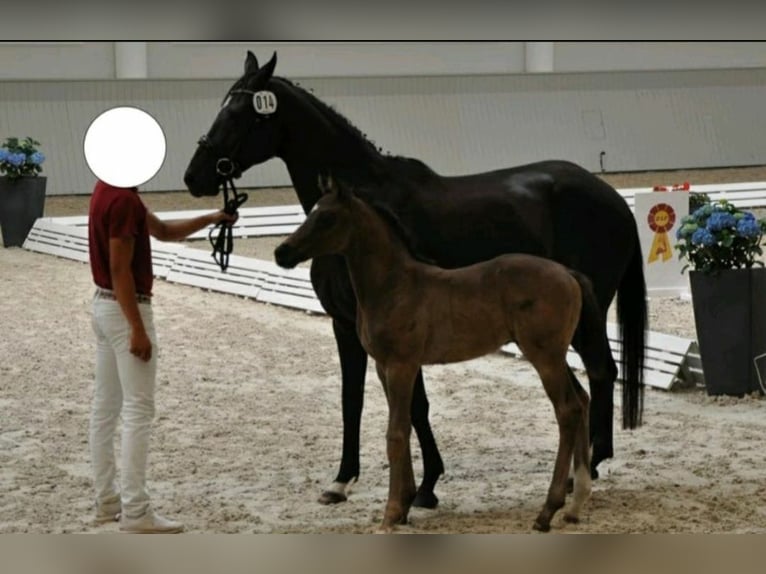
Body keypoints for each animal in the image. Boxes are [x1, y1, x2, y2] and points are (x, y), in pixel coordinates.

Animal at [274, 174, 610, 532]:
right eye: (311, 211)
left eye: (327, 217)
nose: (282, 252)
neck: (394, 286)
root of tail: (568, 274)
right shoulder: (384, 367)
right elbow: (406, 424)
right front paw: (404, 506)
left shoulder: (402, 365)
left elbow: (396, 433)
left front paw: (391, 514)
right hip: (553, 356)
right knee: (582, 400)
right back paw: (575, 506)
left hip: (544, 357)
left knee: (568, 410)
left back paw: (548, 511)